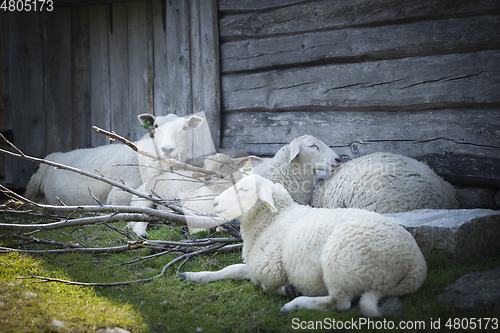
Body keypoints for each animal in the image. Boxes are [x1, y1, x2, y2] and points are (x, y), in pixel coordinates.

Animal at [180, 174, 426, 316]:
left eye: (245, 189)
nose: (215, 203)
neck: (272, 220)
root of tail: (415, 266)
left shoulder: (270, 269)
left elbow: (266, 285)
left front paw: (288, 290)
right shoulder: (255, 266)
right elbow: (228, 269)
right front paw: (193, 276)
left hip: (341, 262)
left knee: (340, 303)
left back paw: (295, 304)